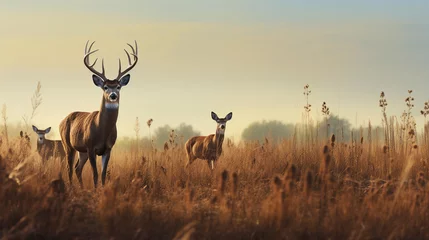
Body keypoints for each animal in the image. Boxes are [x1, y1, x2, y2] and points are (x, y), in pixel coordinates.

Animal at [59, 40, 137, 188]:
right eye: (105, 87)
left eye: (118, 86)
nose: (113, 95)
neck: (102, 130)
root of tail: (62, 120)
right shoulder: (91, 147)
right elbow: (95, 174)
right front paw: (95, 190)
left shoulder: (108, 148)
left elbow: (103, 174)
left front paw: (102, 189)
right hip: (68, 145)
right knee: (69, 168)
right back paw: (71, 188)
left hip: (81, 151)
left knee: (77, 168)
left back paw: (82, 188)